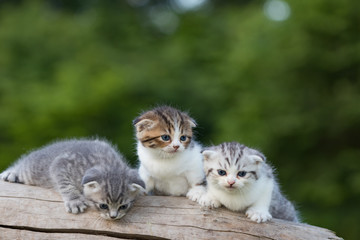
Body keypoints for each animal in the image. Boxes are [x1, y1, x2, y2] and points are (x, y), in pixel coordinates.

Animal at [0, 139, 146, 219]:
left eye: (123, 206)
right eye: (103, 206)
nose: (113, 216)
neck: (107, 163)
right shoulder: (60, 164)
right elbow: (65, 184)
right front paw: (74, 201)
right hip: (32, 169)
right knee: (22, 165)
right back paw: (10, 173)